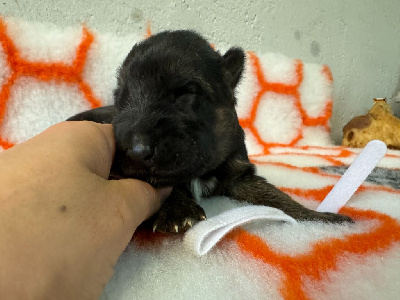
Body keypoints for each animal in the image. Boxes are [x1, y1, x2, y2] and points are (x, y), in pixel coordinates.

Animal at [68, 29, 350, 232]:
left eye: (185, 93)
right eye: (121, 98)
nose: (137, 151)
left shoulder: (239, 173)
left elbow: (277, 197)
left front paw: (320, 218)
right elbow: (168, 181)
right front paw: (178, 210)